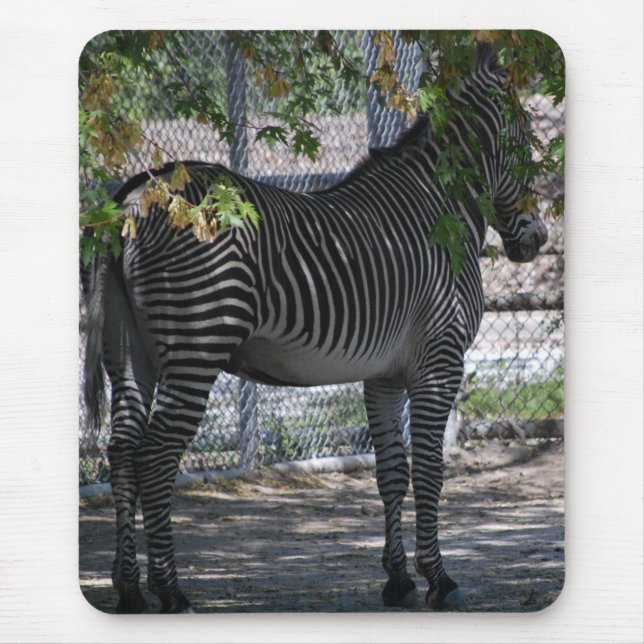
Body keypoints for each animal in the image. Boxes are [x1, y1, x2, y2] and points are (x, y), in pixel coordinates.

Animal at [82, 45, 548, 613]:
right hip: (197, 345)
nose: (538, 242)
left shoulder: (383, 374)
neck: (440, 209)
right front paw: (440, 580)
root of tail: (133, 197)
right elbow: (430, 471)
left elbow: (391, 472)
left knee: (123, 452)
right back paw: (171, 591)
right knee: (155, 456)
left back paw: (128, 589)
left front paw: (399, 581)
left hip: (130, 352)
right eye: (528, 141)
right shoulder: (440, 362)